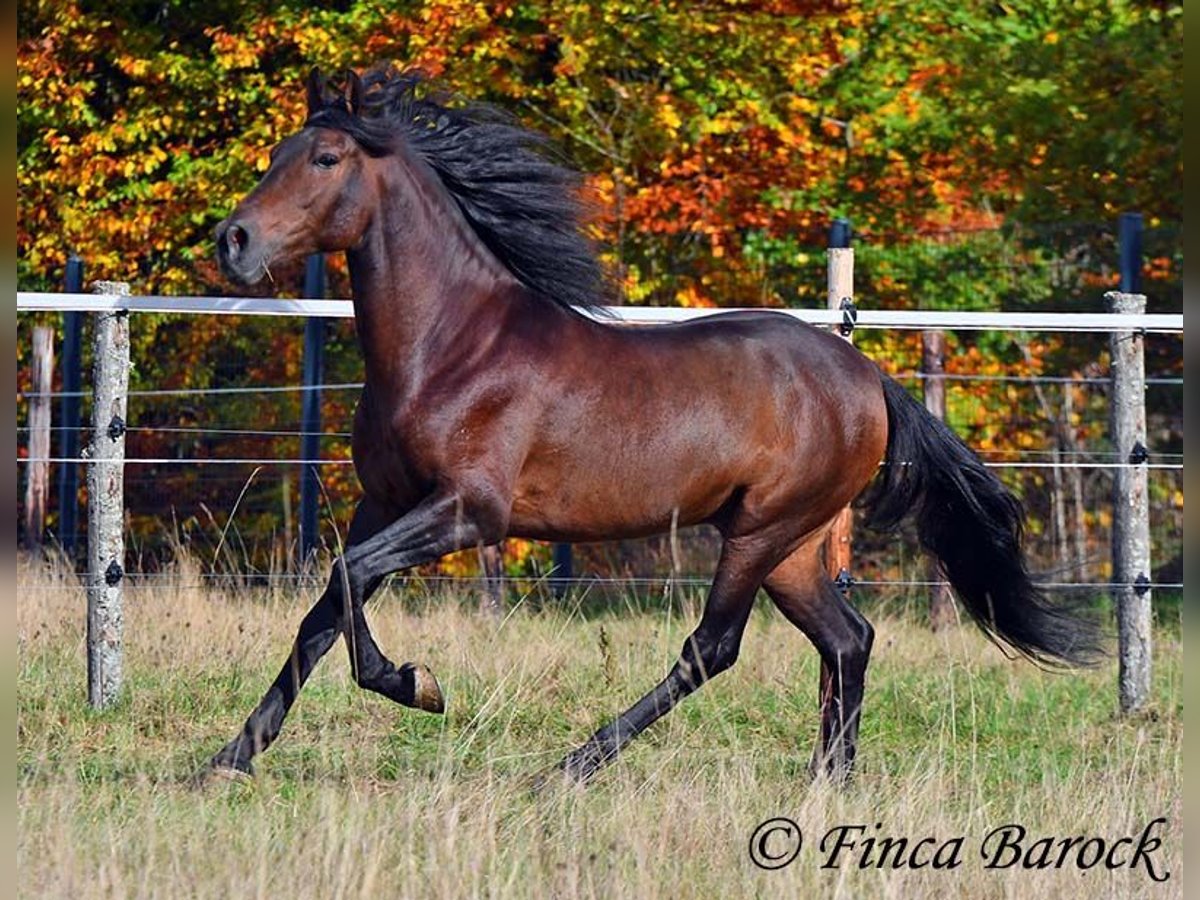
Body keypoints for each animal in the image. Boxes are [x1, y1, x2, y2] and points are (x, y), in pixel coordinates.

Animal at [210, 66, 1101, 784]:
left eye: (326, 159)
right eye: (277, 152)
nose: (233, 240)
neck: (453, 346)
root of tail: (869, 378)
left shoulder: (469, 511)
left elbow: (345, 580)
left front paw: (416, 685)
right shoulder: (385, 502)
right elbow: (324, 608)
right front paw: (230, 756)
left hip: (760, 530)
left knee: (714, 648)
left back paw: (572, 767)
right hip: (795, 547)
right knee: (848, 639)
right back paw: (829, 783)